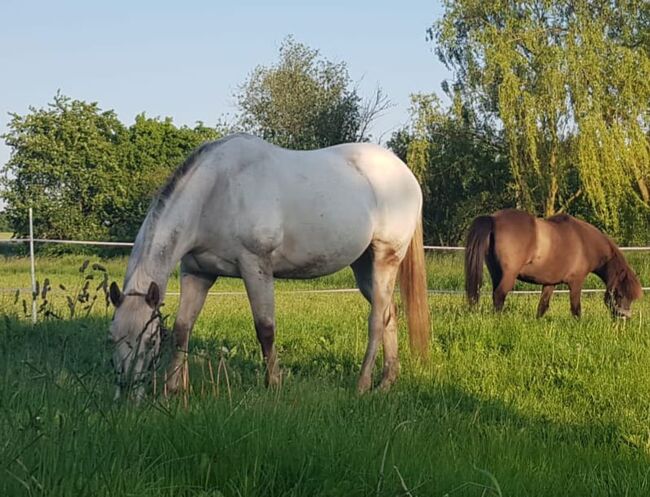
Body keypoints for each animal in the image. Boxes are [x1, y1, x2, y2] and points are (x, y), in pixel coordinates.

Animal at [108, 134, 428, 398]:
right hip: (363, 266)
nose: (128, 393)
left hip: (385, 257)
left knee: (376, 320)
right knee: (389, 313)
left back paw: (363, 384)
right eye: (112, 337)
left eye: (150, 340)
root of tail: (407, 176)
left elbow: (265, 328)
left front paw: (273, 383)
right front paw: (174, 387)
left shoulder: (256, 265)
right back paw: (387, 381)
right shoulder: (197, 273)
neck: (217, 191)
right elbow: (182, 328)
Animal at [464, 208, 640, 318]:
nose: (623, 319)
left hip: (496, 273)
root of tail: (493, 219)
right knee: (499, 295)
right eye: (619, 294)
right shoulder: (576, 283)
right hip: (508, 275)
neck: (585, 243)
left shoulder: (550, 283)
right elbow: (576, 309)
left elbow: (542, 307)